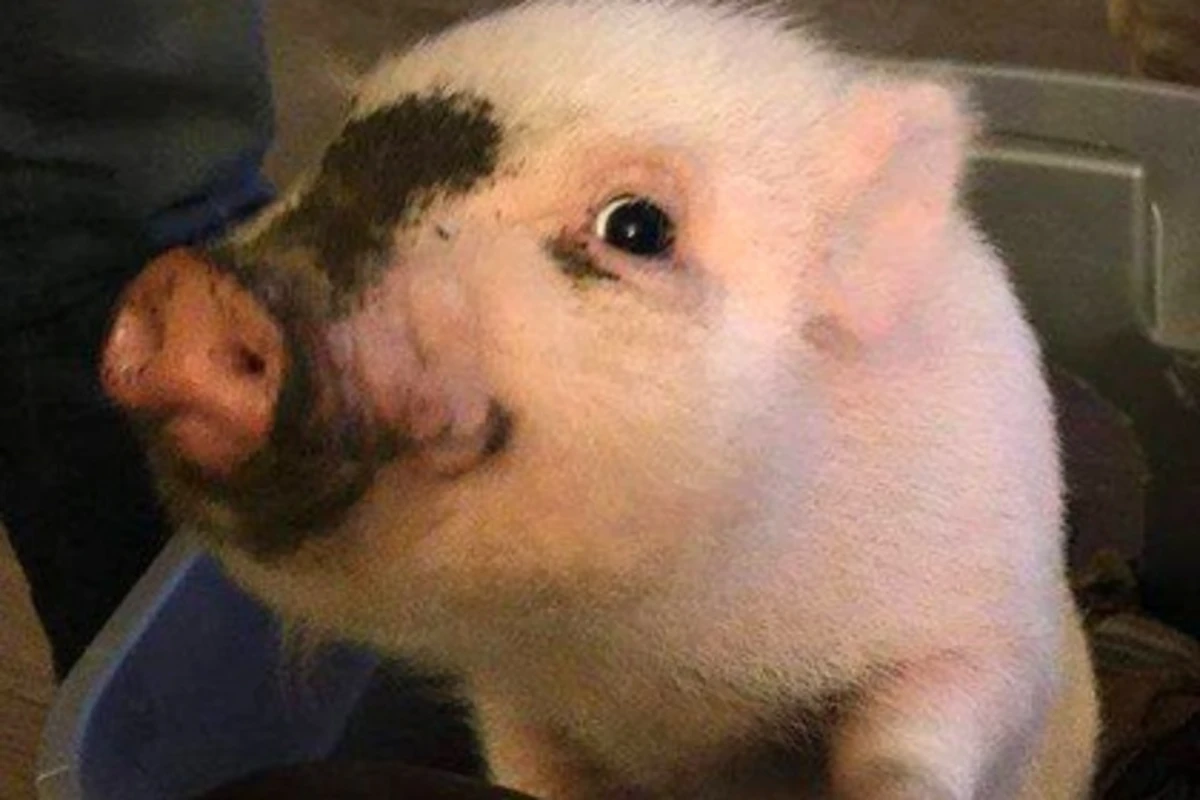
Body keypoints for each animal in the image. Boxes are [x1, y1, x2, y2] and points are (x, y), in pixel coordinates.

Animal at [100, 1, 1099, 797]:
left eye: (637, 226)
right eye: (337, 148)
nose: (190, 291)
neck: (652, 655)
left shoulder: (985, 631)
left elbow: (916, 740)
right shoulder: (510, 688)